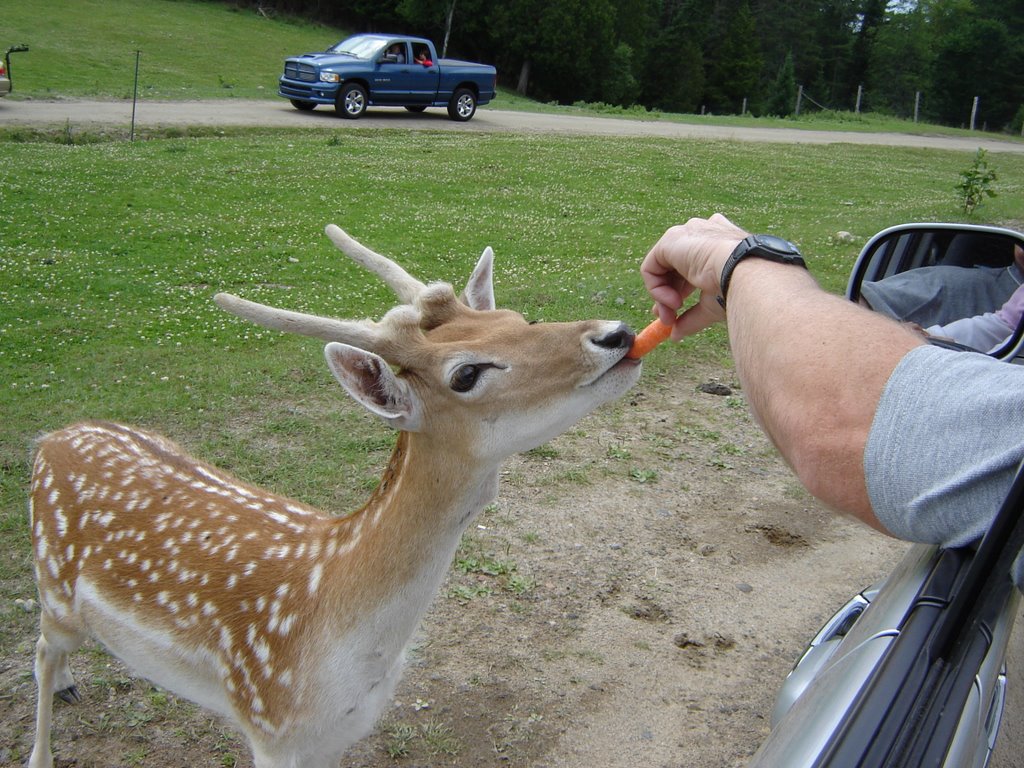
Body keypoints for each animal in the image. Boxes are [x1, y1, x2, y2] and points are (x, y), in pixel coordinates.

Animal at [25, 225, 638, 768]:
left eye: (517, 318)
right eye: (466, 373)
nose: (617, 333)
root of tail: (50, 439)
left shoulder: (341, 733)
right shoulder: (268, 727)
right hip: (54, 584)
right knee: (41, 649)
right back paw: (45, 742)